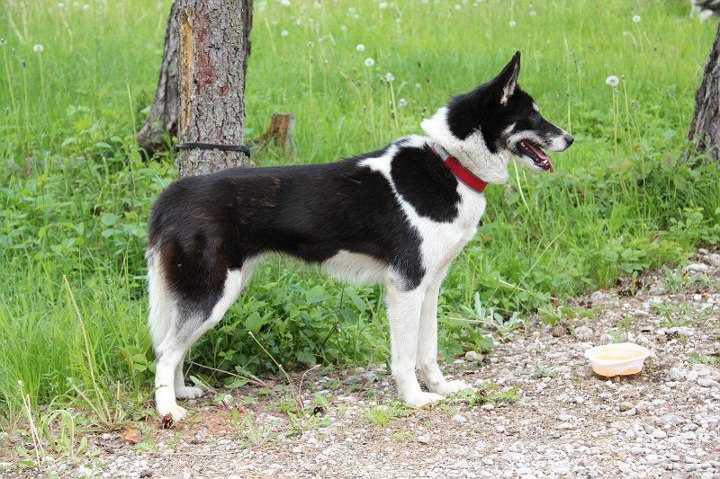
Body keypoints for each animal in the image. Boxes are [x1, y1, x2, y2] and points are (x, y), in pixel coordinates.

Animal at [146, 50, 572, 422]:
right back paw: (168, 410)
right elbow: (404, 357)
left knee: (172, 345)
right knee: (165, 351)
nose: (570, 139)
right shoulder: (405, 287)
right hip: (212, 292)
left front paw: (442, 388)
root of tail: (172, 195)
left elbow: (429, 350)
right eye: (533, 115)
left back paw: (181, 393)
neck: (450, 163)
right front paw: (415, 399)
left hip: (209, 291)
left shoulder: (430, 286)